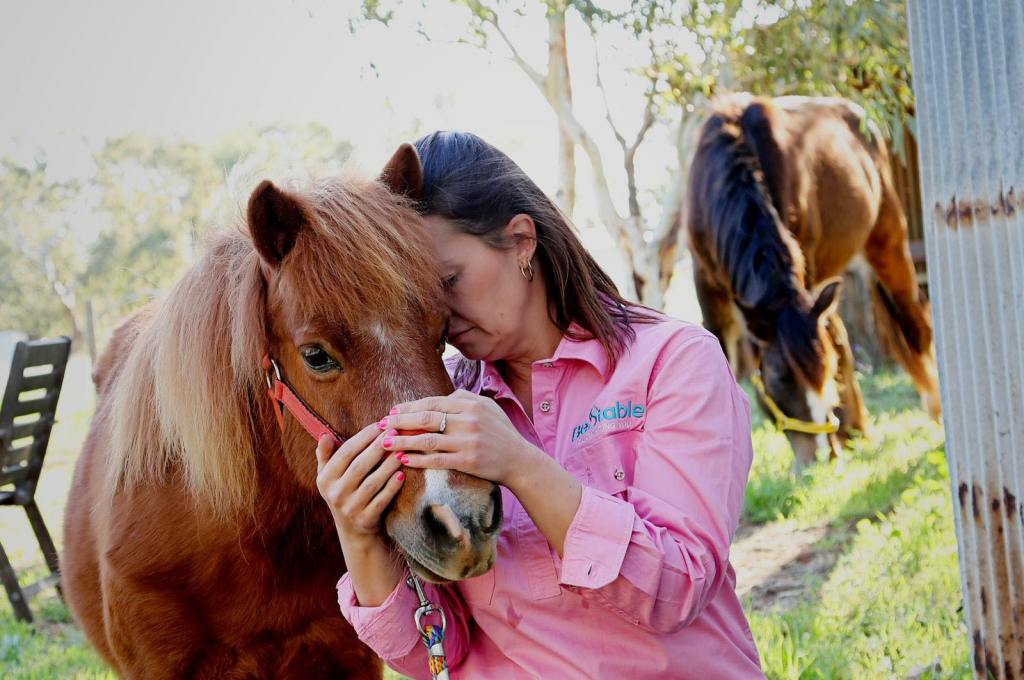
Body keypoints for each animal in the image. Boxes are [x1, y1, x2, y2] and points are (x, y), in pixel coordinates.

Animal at [686, 94, 941, 468]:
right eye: (779, 378)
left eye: (822, 375)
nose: (820, 457)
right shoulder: (708, 288)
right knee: (843, 334)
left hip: (885, 241)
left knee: (912, 321)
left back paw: (928, 411)